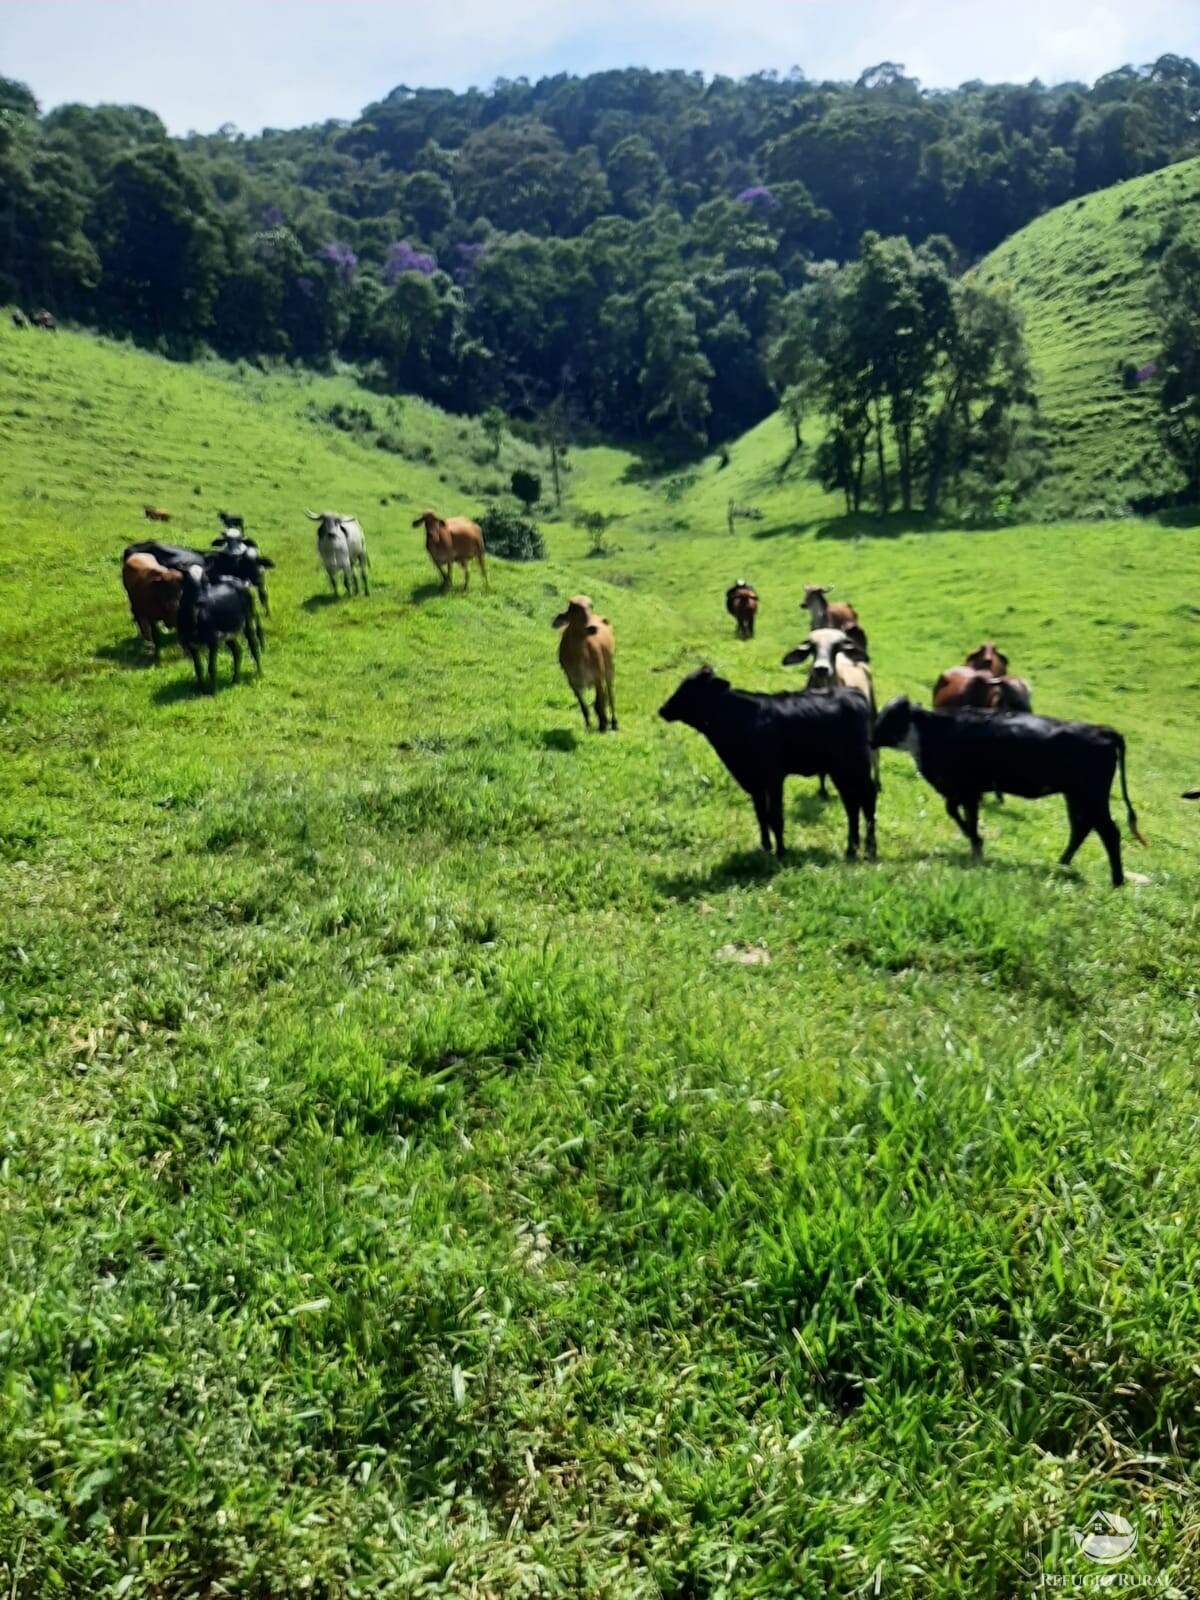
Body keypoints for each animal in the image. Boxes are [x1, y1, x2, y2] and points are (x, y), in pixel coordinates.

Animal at [553, 595, 620, 732]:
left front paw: (603, 725)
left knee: (610, 696)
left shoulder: (598, 677)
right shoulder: (572, 681)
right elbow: (584, 706)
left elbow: (600, 703)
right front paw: (589, 725)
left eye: (590, 607)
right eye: (573, 609)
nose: (592, 627)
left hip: (609, 669)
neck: (579, 655)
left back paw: (614, 723)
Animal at [662, 665, 876, 864]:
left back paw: (870, 851)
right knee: (852, 804)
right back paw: (851, 850)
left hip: (855, 764)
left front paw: (781, 853)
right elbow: (761, 815)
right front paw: (765, 848)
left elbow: (775, 816)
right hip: (840, 770)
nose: (663, 709)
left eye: (690, 689)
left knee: (867, 800)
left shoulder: (773, 777)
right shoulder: (753, 780)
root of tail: (854, 694)